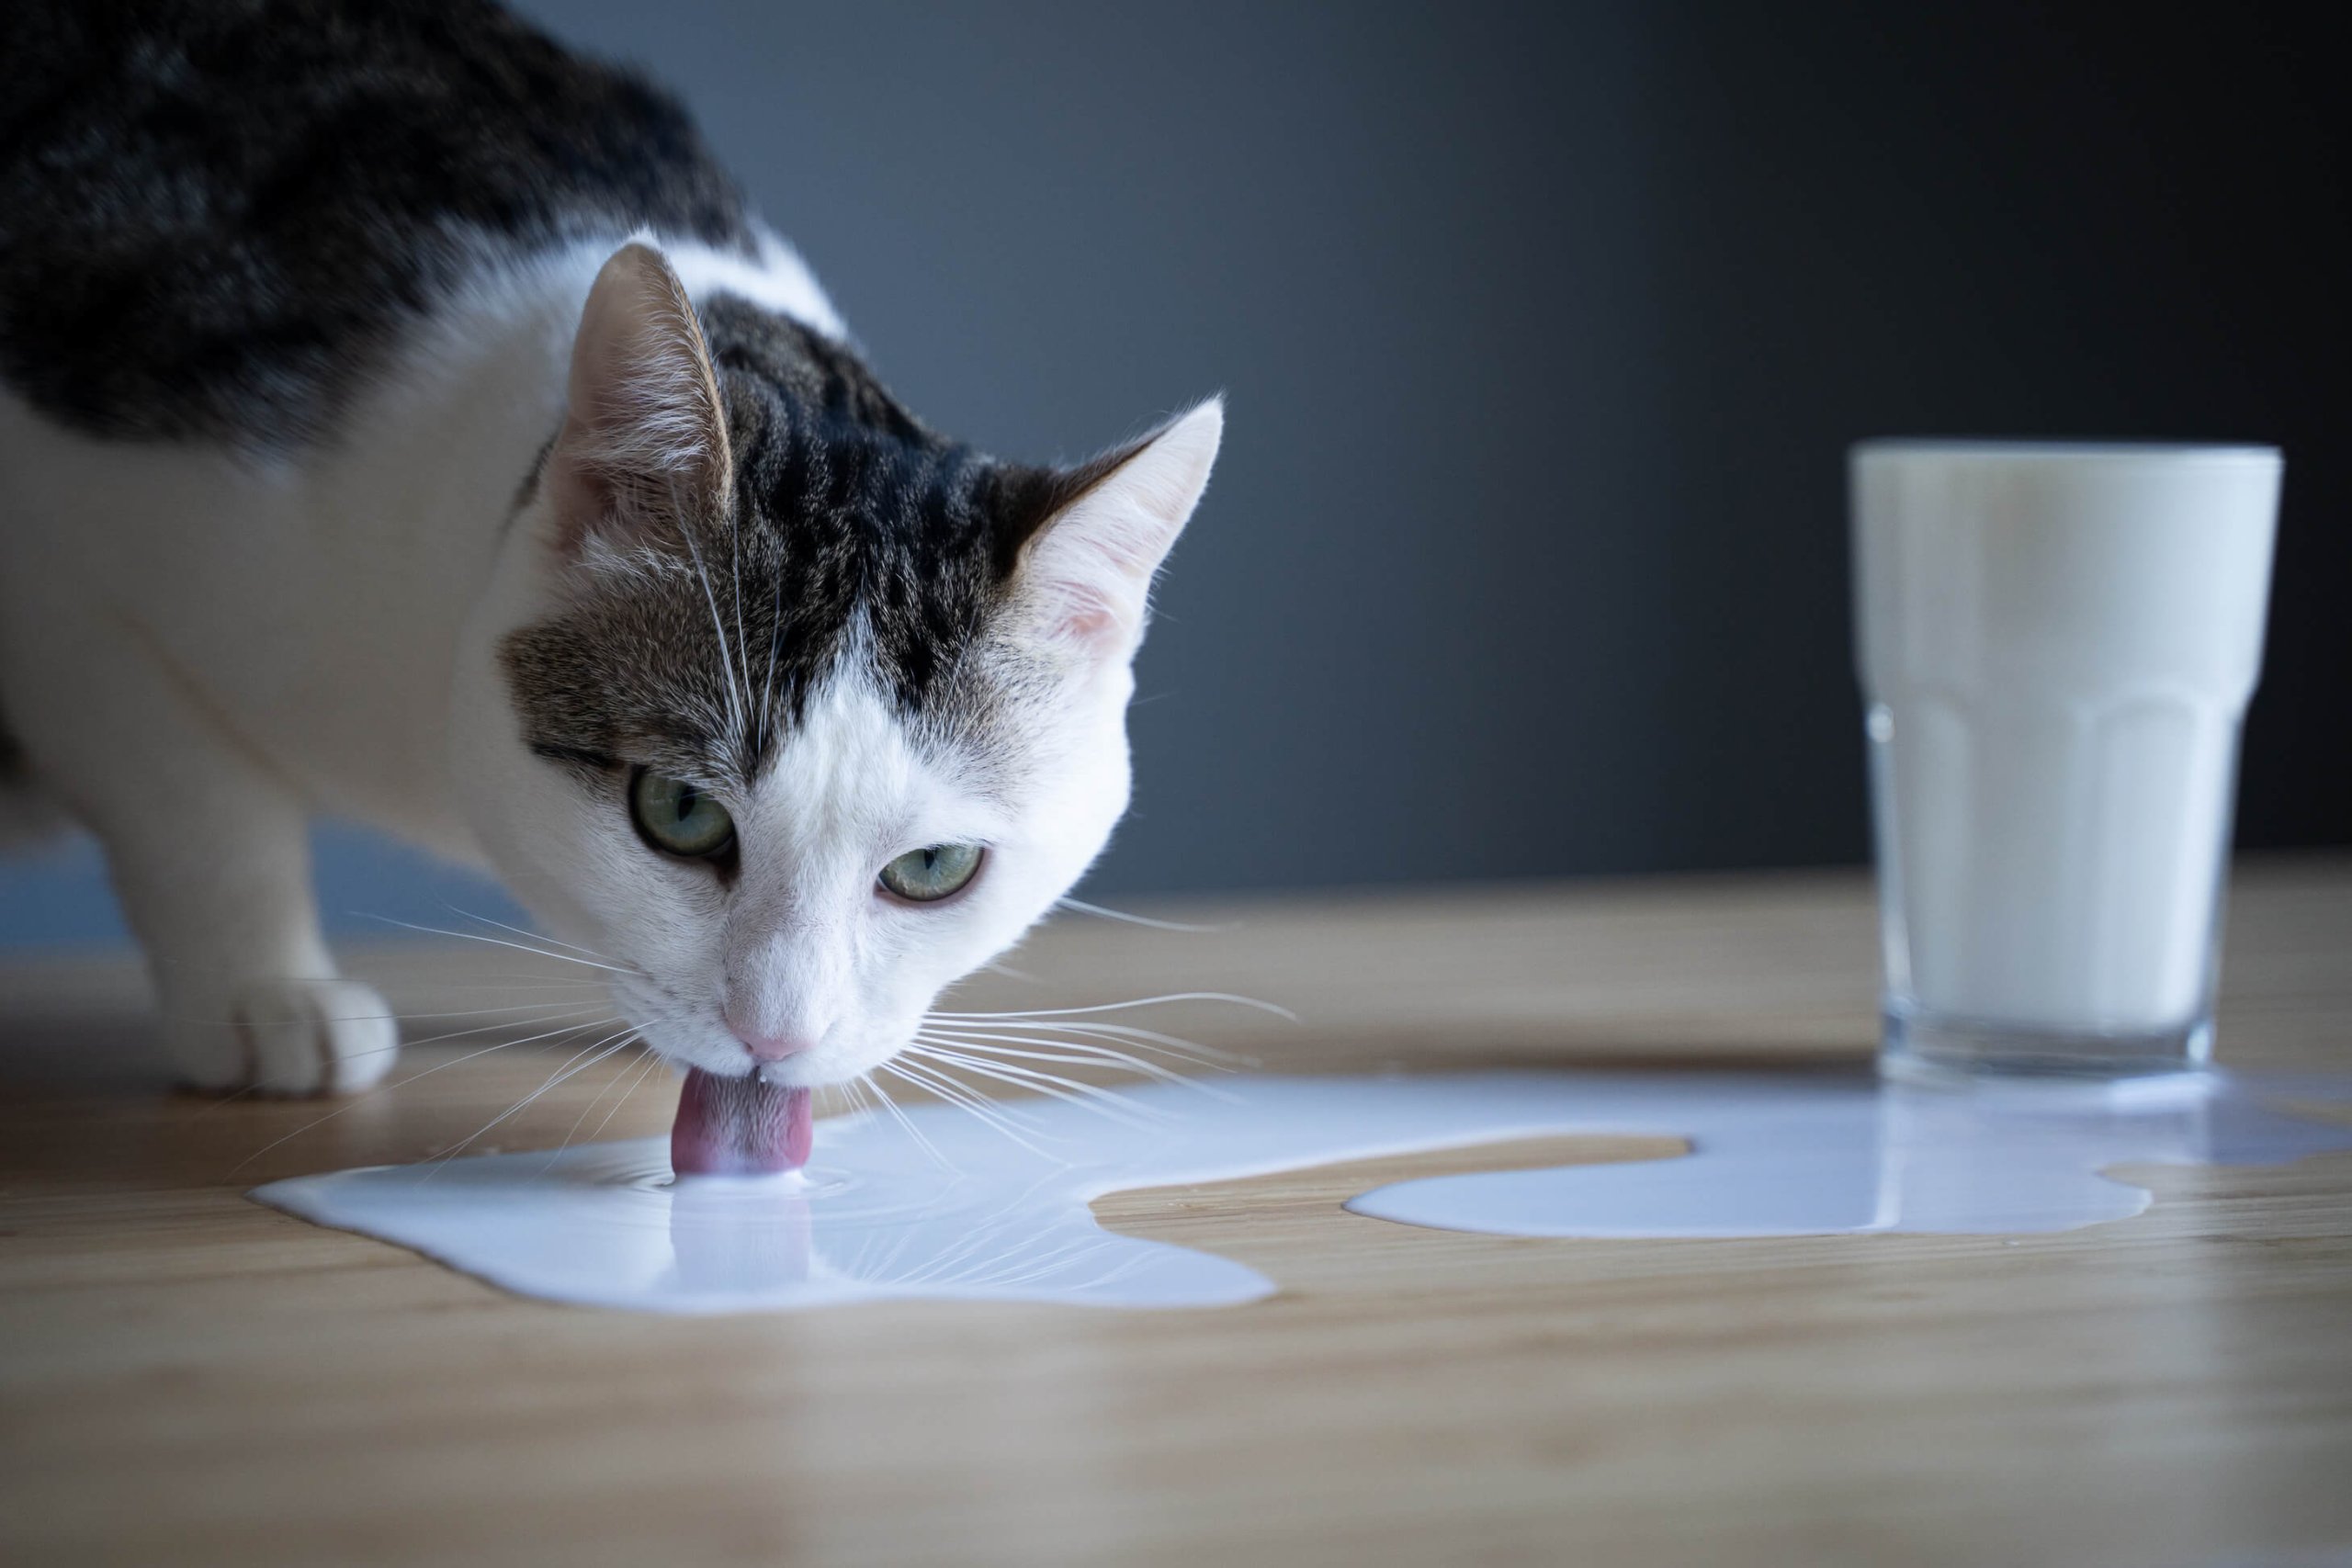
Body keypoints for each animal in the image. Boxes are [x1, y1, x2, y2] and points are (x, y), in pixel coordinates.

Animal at [0, 0, 1213, 1170]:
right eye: (678, 811)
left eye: (933, 868)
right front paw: (264, 997)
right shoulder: (60, 563)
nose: (776, 1039)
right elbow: (193, 798)